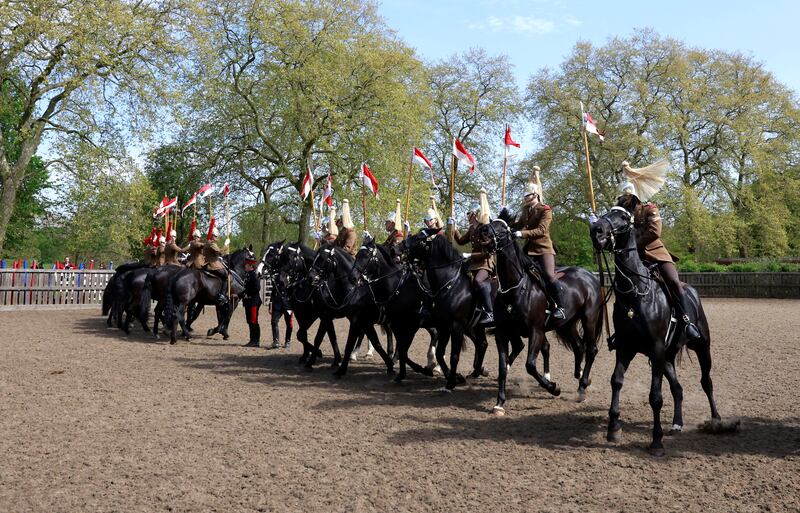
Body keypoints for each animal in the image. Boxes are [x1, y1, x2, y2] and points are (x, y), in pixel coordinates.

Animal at [354, 239, 440, 380]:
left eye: (366, 255)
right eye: (356, 255)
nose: (354, 277)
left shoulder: (409, 325)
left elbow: (401, 346)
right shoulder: (391, 322)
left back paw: (435, 365)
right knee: (434, 333)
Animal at [404, 230, 490, 390]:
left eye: (419, 238)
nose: (398, 249)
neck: (451, 284)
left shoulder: (456, 325)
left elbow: (454, 355)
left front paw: (450, 383)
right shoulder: (443, 325)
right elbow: (439, 352)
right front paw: (454, 377)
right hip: (475, 326)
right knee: (482, 344)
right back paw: (475, 372)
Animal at [472, 219, 604, 412]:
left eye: (502, 228)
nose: (482, 231)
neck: (514, 290)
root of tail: (589, 276)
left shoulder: (536, 331)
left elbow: (530, 364)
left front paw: (554, 388)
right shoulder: (502, 333)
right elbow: (503, 367)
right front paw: (499, 402)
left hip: (589, 320)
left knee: (591, 349)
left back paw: (582, 387)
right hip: (568, 324)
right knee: (579, 346)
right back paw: (579, 376)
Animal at [592, 206, 720, 454]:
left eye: (623, 218)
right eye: (605, 213)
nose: (596, 230)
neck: (635, 293)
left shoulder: (656, 348)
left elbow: (655, 396)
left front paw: (656, 441)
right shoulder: (626, 348)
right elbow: (616, 381)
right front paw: (613, 428)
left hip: (701, 347)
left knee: (706, 382)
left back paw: (717, 420)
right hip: (668, 357)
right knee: (678, 388)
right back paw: (677, 424)